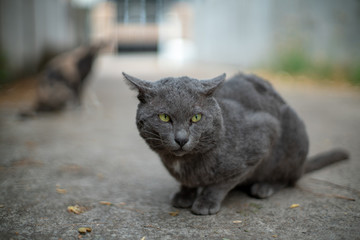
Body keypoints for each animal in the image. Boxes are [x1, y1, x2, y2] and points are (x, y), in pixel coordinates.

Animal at [124, 72, 348, 215]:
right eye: (164, 117)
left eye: (196, 117)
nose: (181, 139)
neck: (182, 162)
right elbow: (187, 182)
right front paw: (184, 195)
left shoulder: (263, 135)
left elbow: (221, 184)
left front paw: (206, 203)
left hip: (293, 139)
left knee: (290, 177)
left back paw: (264, 187)